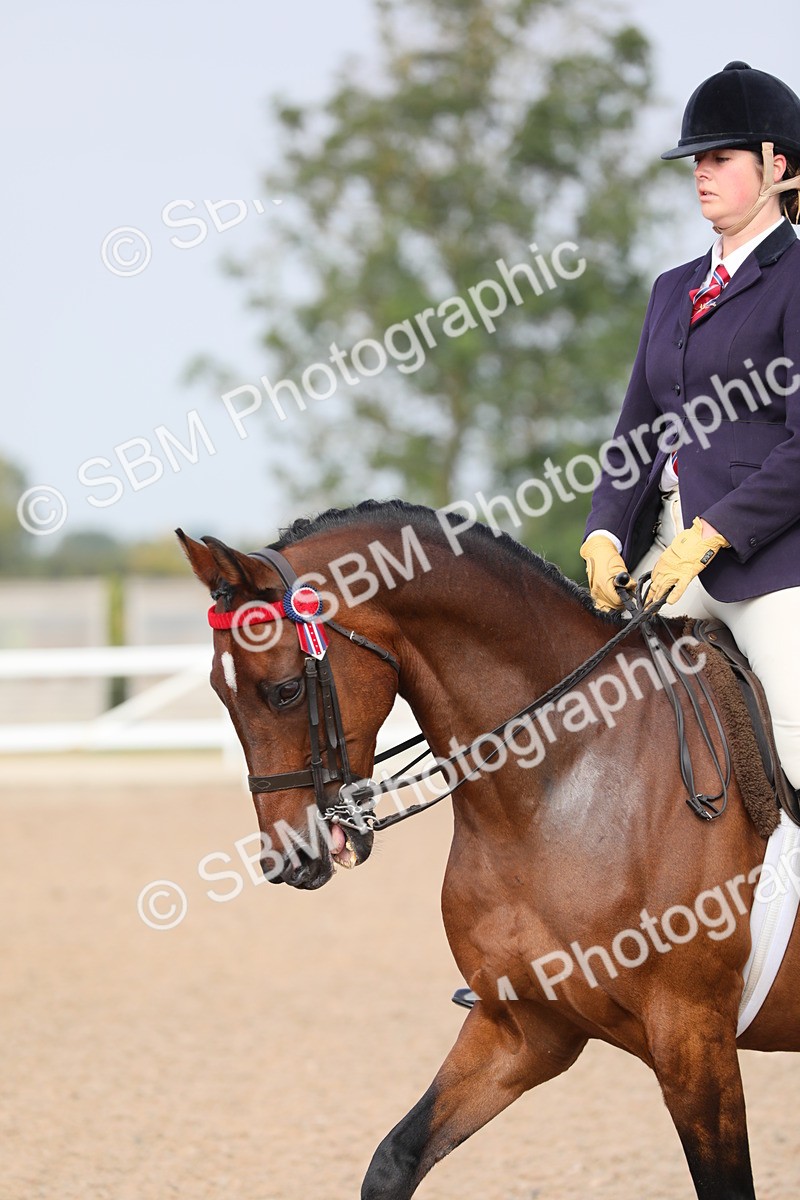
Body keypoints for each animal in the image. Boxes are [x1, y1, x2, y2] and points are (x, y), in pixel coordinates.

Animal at [177, 498, 800, 1200]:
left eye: (285, 690)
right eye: (219, 691)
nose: (289, 859)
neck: (557, 787)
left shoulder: (692, 1039)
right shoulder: (524, 1025)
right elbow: (393, 1160)